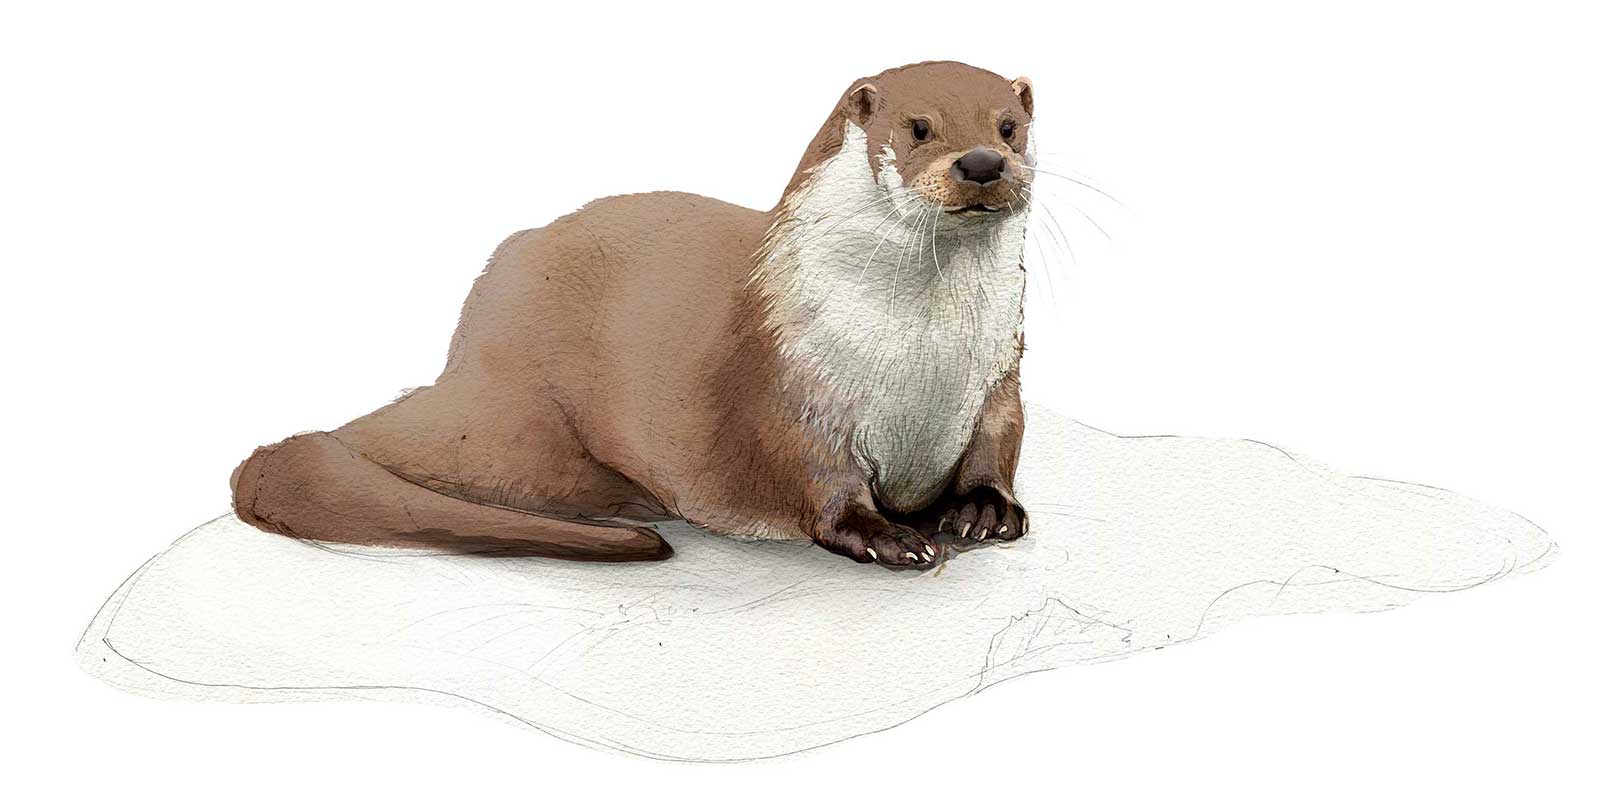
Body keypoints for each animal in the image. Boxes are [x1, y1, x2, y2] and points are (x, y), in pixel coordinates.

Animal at [231, 61, 1037, 570]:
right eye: (919, 127)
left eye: (1008, 127)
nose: (982, 165)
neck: (922, 357)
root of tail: (466, 351)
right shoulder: (790, 382)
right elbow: (817, 479)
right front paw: (887, 535)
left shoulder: (1000, 373)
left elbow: (997, 444)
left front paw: (982, 510)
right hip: (515, 428)